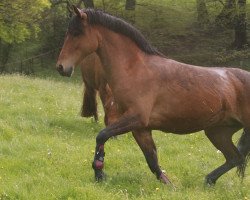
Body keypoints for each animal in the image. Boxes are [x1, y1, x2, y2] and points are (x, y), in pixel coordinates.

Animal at [56, 7, 250, 186]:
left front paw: (99, 172)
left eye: (76, 33)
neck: (135, 70)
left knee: (236, 158)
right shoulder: (141, 128)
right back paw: (209, 180)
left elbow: (102, 135)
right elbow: (152, 159)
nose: (61, 67)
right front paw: (168, 184)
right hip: (218, 131)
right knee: (235, 158)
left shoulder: (136, 118)